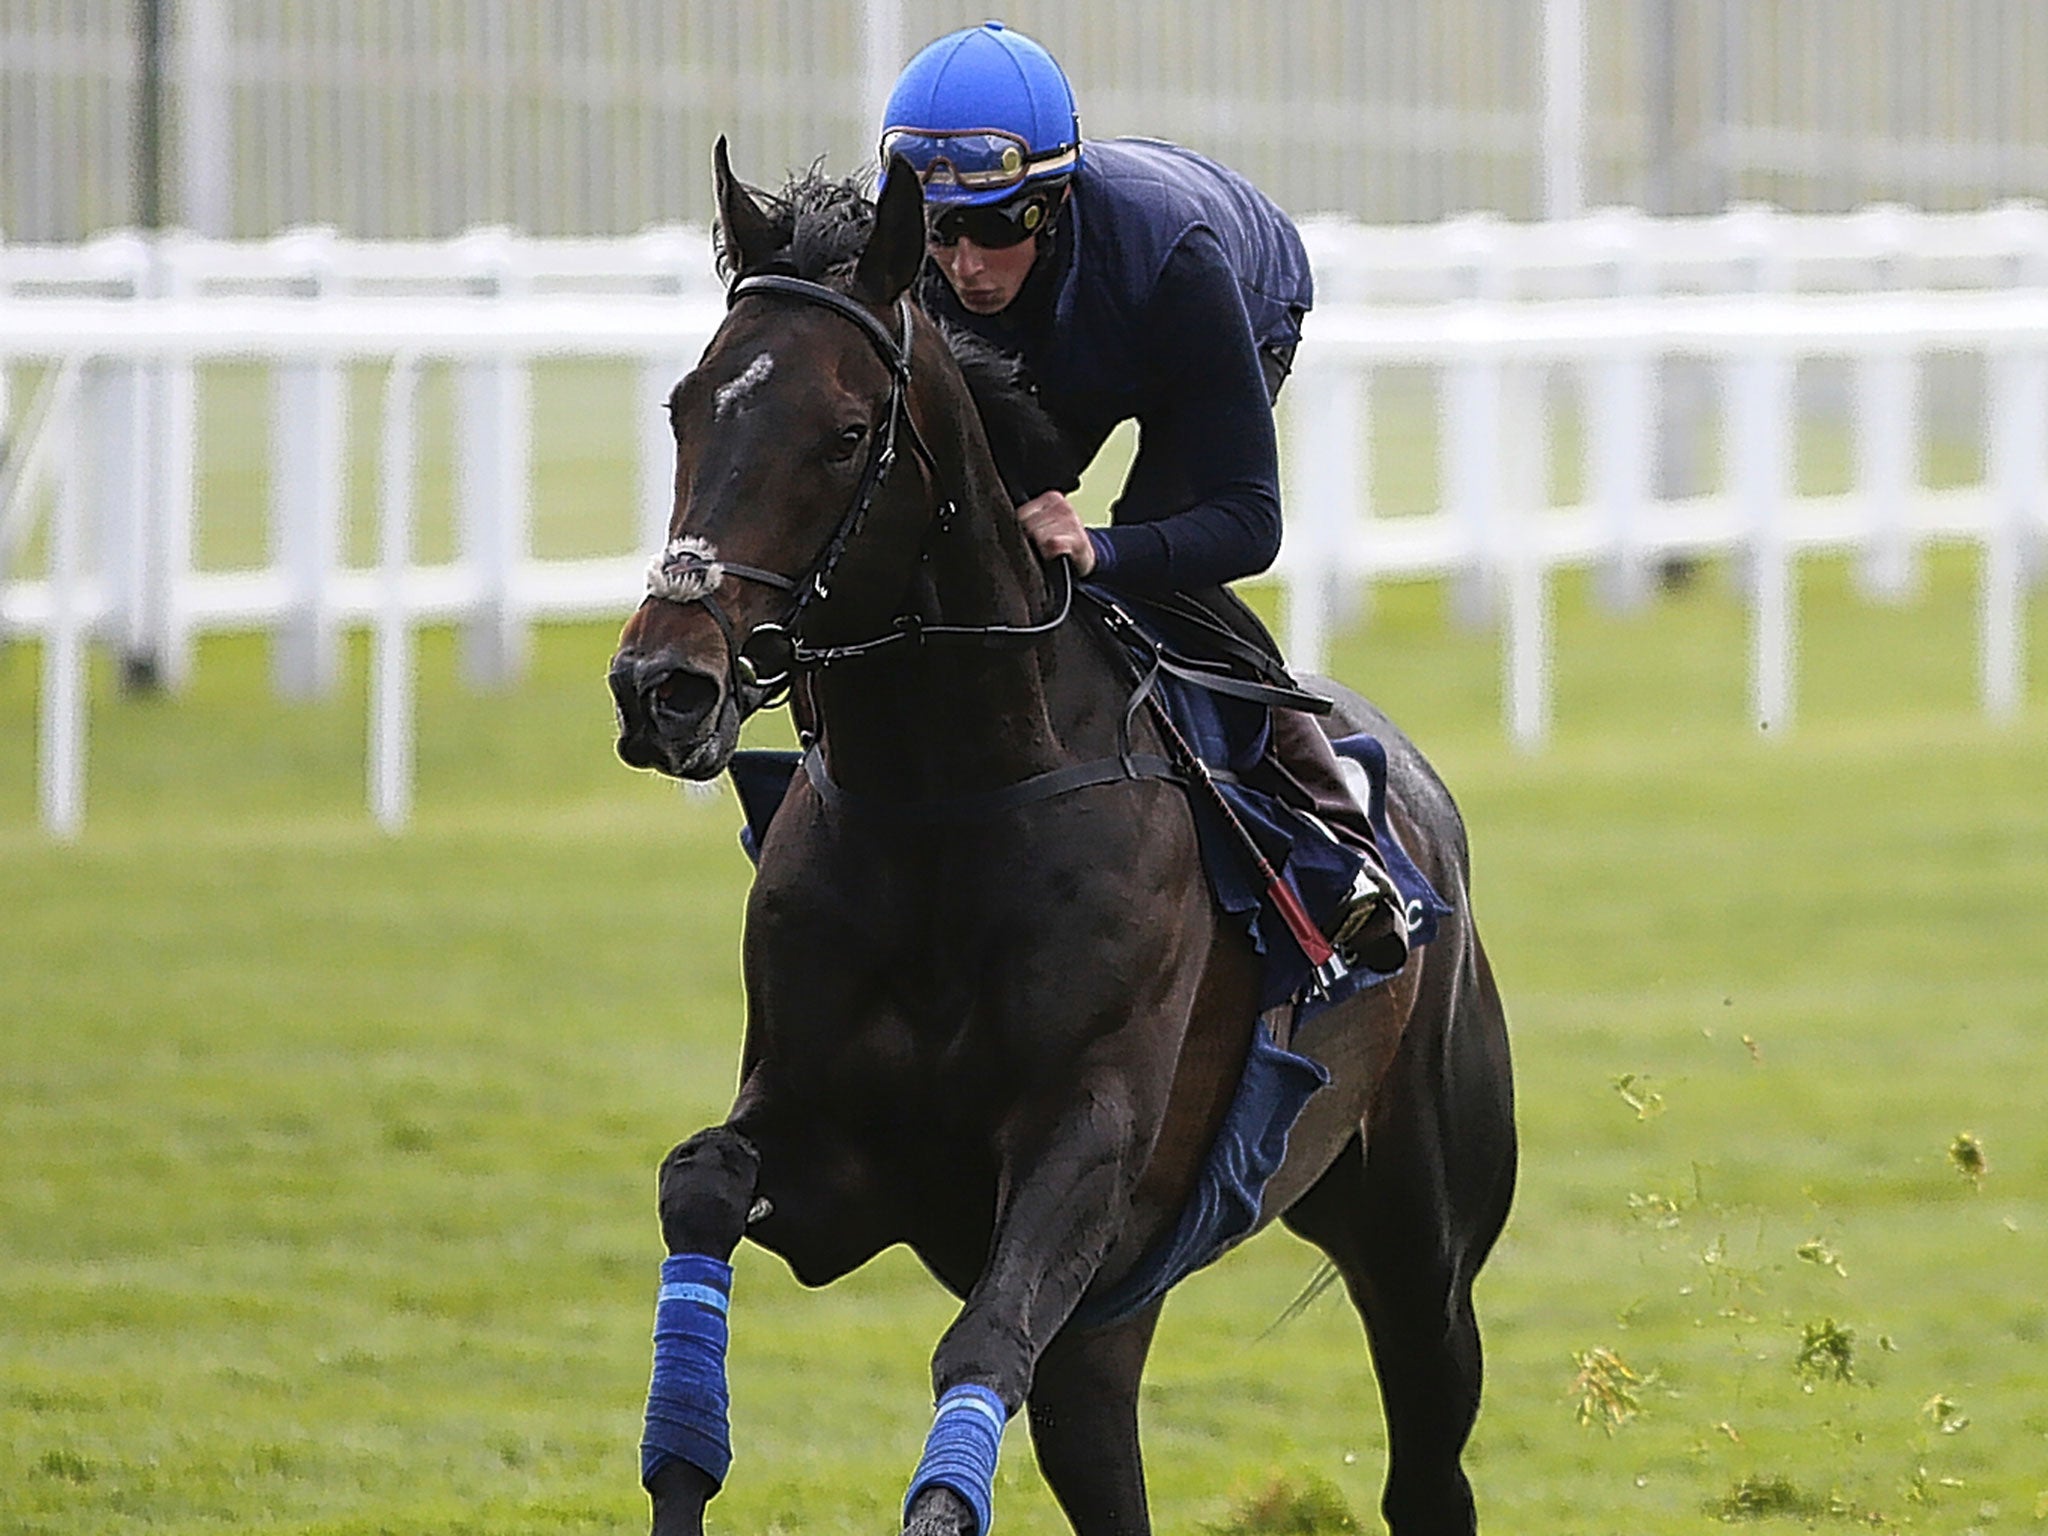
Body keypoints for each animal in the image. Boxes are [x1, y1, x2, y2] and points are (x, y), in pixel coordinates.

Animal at [598, 138, 1515, 1531]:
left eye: (846, 434)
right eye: (685, 408)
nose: (664, 685)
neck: (948, 805)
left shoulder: (1084, 1147)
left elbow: (980, 1341)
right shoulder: (829, 1152)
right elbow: (694, 1178)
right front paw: (679, 1461)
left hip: (1420, 1243)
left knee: (1425, 1465)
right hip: (1112, 1320)